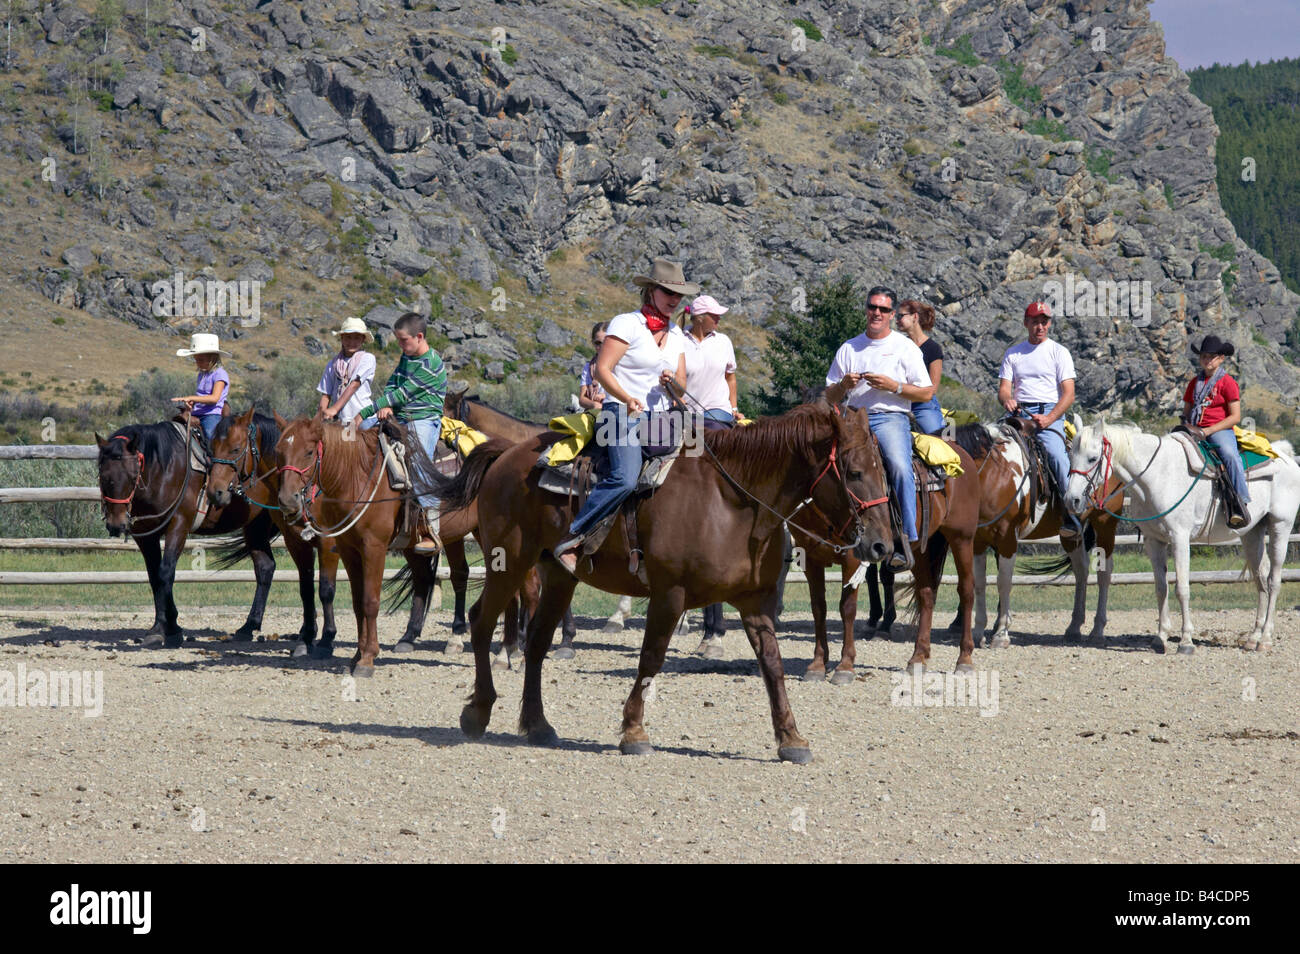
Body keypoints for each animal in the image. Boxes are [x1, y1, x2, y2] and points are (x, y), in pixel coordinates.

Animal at [96, 418, 289, 649]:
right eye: (102, 476)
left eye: (133, 476)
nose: (116, 525)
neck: (164, 469)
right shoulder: (145, 534)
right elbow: (154, 577)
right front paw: (160, 628)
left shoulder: (179, 524)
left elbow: (165, 572)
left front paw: (170, 629)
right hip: (255, 525)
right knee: (265, 567)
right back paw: (248, 627)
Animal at [436, 400, 894, 764]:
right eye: (854, 472)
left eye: (883, 472)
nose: (882, 545)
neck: (733, 502)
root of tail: (505, 455)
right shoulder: (669, 595)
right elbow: (651, 658)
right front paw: (634, 731)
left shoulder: (755, 602)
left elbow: (773, 666)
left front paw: (791, 738)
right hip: (509, 562)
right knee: (481, 622)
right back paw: (477, 712)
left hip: (558, 575)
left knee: (536, 642)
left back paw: (537, 725)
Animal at [1066, 421, 1300, 655]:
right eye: (1070, 454)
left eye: (1092, 458)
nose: (1071, 500)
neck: (1157, 475)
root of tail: (1285, 455)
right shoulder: (1154, 541)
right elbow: (1161, 588)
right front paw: (1160, 638)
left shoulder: (1180, 538)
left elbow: (1182, 588)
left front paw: (1186, 641)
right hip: (1252, 532)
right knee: (1261, 577)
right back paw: (1253, 637)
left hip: (1280, 526)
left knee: (1273, 581)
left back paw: (1265, 639)